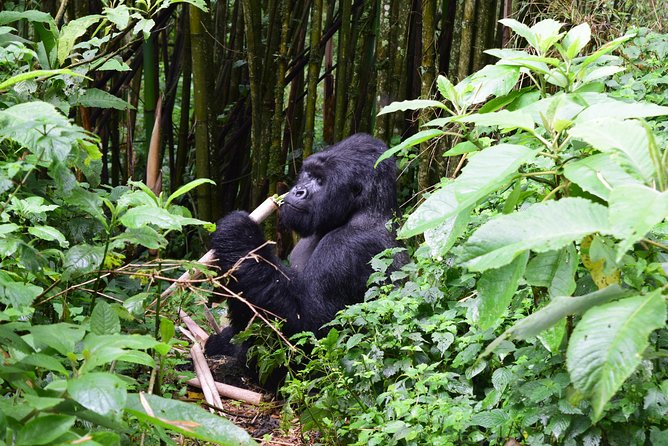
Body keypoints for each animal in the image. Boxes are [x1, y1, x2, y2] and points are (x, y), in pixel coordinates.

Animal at [204, 132, 402, 362]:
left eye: (321, 181)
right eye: (308, 174)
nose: (298, 191)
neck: (361, 209)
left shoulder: (349, 245)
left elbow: (310, 327)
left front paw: (240, 234)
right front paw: (223, 341)